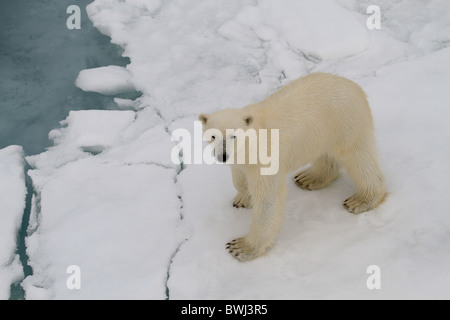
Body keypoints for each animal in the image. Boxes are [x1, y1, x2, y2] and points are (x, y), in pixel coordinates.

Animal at [200, 73, 386, 262]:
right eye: (213, 135)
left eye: (234, 135)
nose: (223, 156)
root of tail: (354, 86)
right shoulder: (240, 160)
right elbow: (239, 177)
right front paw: (243, 198)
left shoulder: (265, 158)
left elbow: (268, 198)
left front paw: (242, 247)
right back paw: (309, 178)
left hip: (345, 121)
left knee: (358, 158)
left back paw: (361, 199)